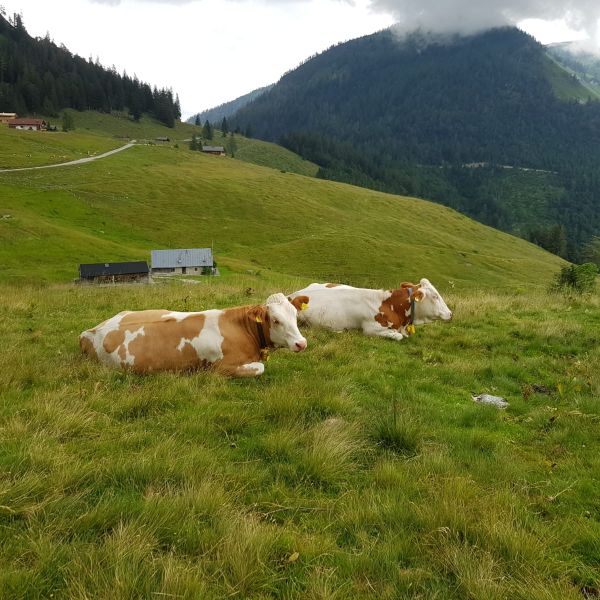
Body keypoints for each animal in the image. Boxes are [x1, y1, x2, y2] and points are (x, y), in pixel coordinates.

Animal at [79, 292, 310, 378]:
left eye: (295, 315)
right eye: (276, 320)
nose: (301, 343)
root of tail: (90, 331)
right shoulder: (223, 367)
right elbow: (260, 368)